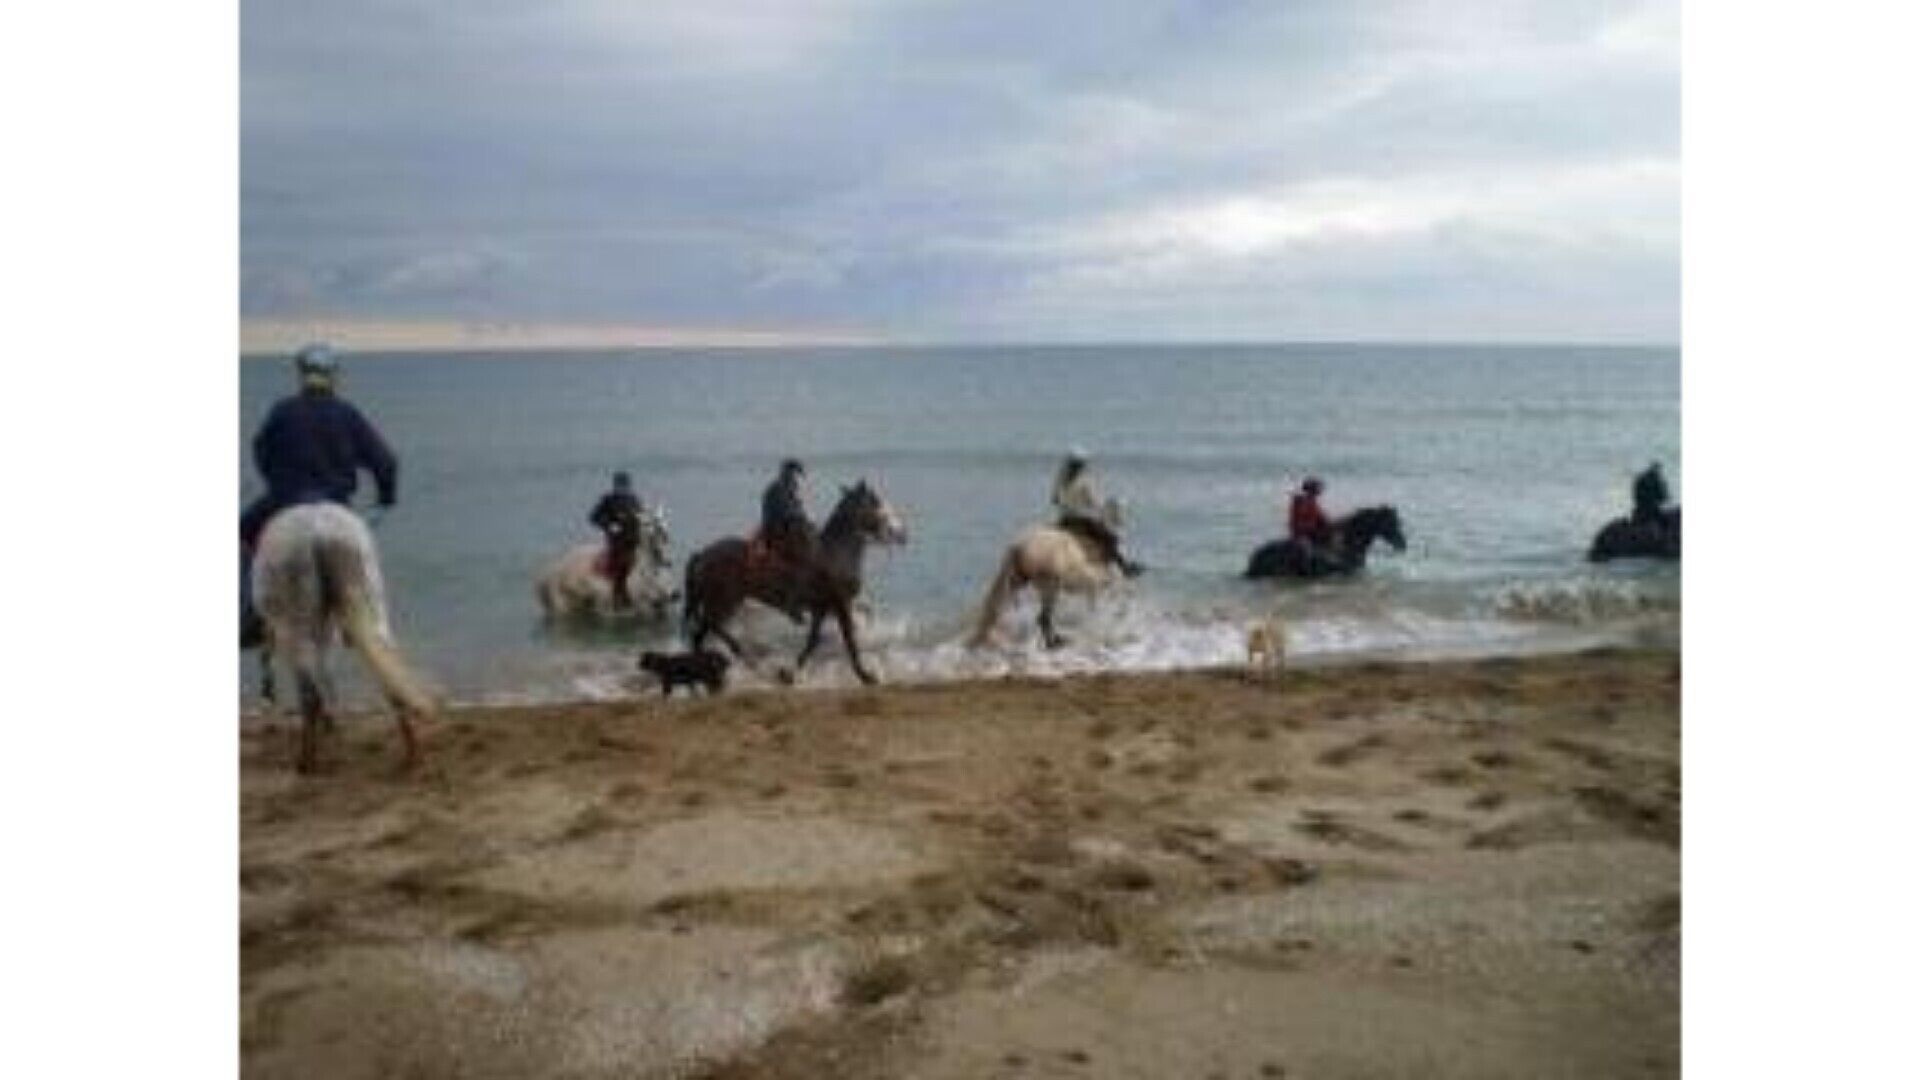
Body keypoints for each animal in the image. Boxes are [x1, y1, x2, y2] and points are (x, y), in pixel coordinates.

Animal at [251, 502, 437, 773]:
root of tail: (320, 534)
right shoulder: (324, 631)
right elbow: (327, 674)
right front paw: (333, 725)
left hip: (296, 629)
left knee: (310, 695)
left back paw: (306, 764)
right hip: (371, 608)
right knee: (388, 678)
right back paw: (412, 758)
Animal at [535, 506, 674, 620]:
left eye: (666, 533)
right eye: (649, 526)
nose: (667, 560)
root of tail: (543, 579)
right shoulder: (634, 609)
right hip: (562, 607)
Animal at [681, 480, 908, 685]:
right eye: (877, 502)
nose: (901, 533)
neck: (836, 553)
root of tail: (703, 554)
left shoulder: (821, 608)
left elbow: (813, 642)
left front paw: (789, 674)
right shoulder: (840, 604)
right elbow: (850, 640)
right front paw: (866, 676)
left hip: (719, 601)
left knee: (700, 634)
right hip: (726, 601)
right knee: (712, 626)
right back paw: (748, 658)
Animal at [969, 521, 1127, 650]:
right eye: (1113, 544)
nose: (1127, 566)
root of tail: (1017, 548)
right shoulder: (1084, 576)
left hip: (1021, 580)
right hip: (1049, 584)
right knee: (1043, 616)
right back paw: (1054, 643)